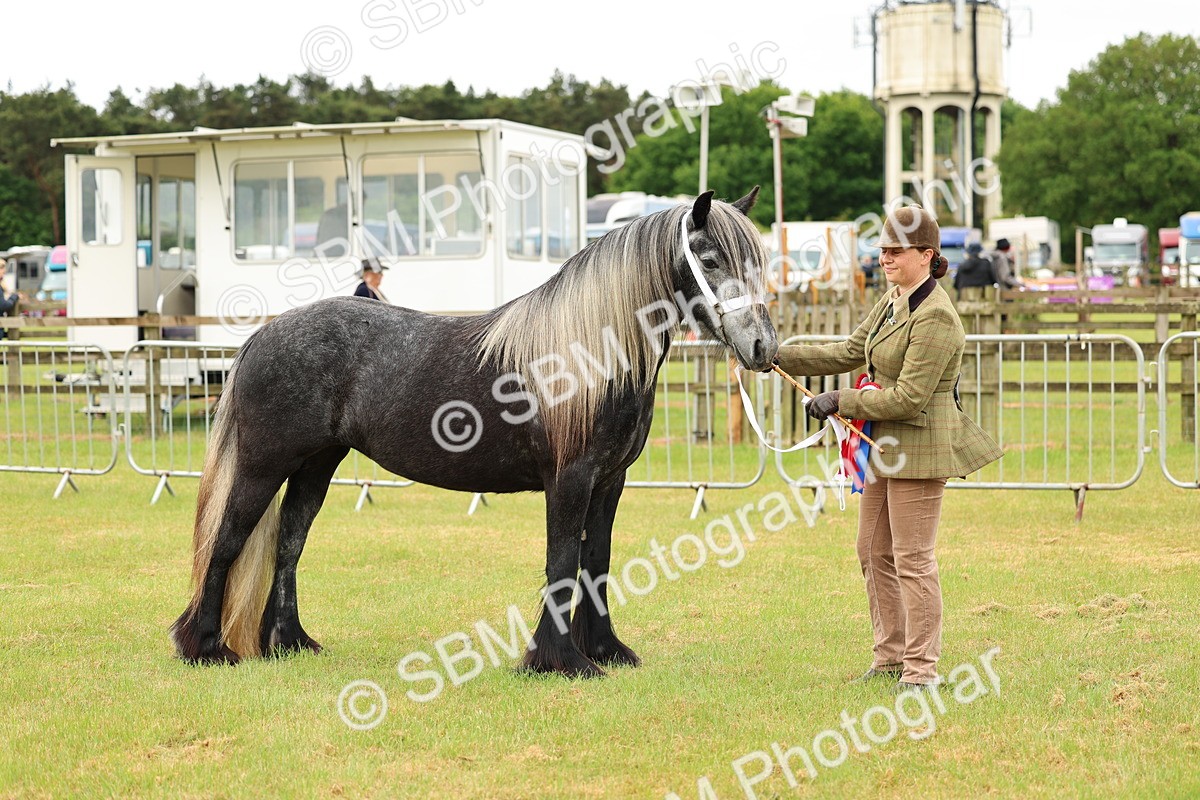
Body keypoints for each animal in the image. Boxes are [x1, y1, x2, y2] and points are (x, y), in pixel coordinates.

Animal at [170, 187, 779, 677]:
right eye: (709, 257)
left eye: (758, 261)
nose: (762, 348)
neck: (587, 354)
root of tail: (263, 335)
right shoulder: (570, 480)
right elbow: (563, 562)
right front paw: (559, 661)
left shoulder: (610, 482)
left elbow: (596, 562)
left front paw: (605, 650)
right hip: (263, 466)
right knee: (227, 540)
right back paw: (206, 647)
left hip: (316, 466)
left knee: (289, 543)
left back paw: (289, 643)